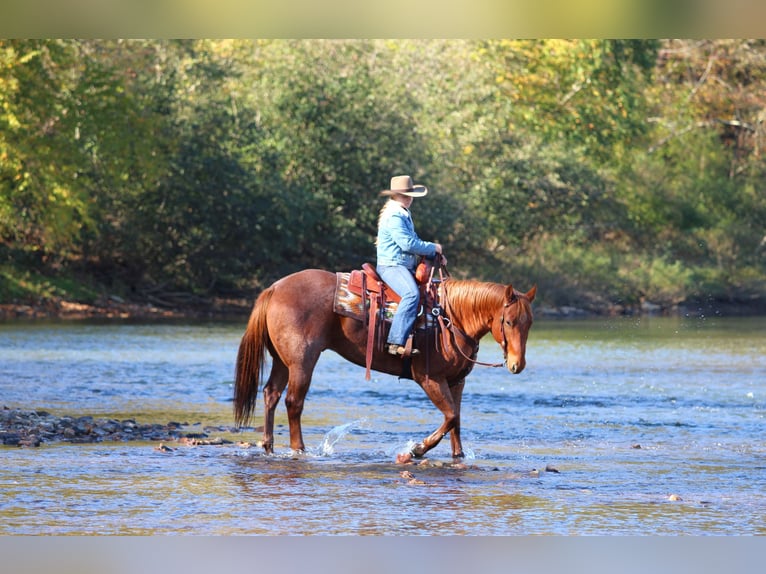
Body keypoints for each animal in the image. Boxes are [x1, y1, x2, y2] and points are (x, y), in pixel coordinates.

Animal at [234, 268, 536, 461]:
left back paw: (269, 447)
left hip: (282, 360)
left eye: (529, 323)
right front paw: (416, 449)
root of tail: (275, 288)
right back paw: (299, 449)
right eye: (509, 321)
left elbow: (457, 420)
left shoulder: (456, 381)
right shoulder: (430, 379)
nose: (517, 364)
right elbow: (450, 416)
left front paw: (458, 455)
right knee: (294, 402)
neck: (450, 319)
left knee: (271, 394)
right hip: (302, 361)